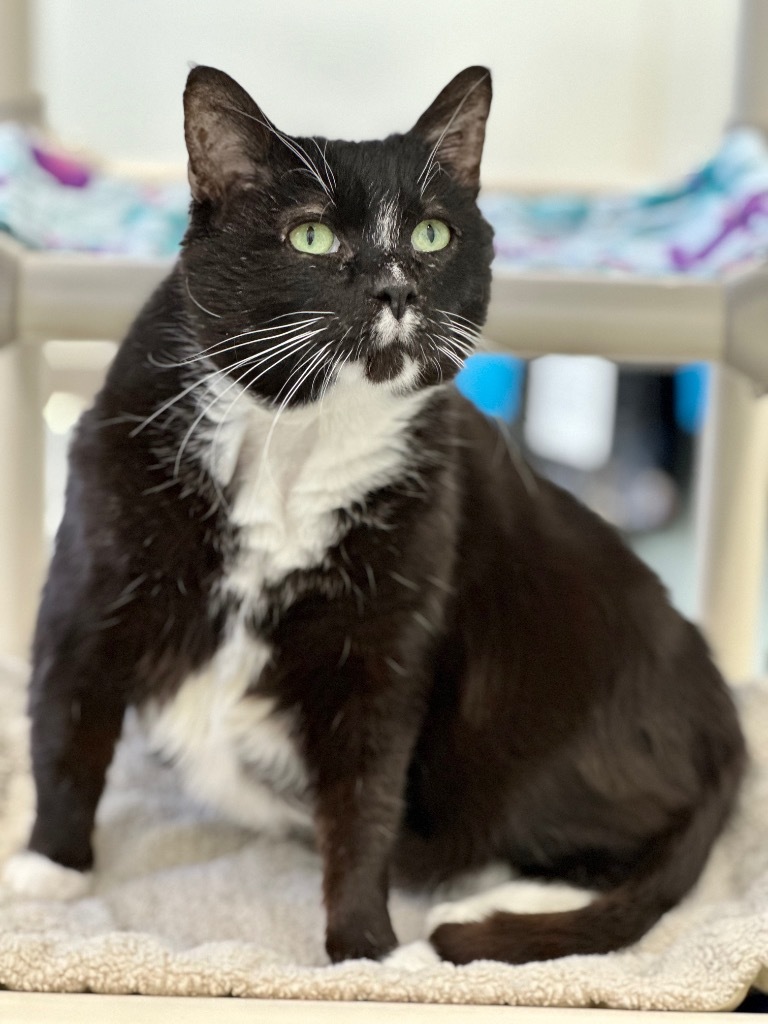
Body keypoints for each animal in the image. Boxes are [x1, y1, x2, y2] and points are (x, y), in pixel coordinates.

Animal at [6, 66, 745, 966]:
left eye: (431, 234)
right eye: (311, 237)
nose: (398, 287)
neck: (293, 444)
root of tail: (730, 736)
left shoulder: (388, 629)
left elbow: (366, 793)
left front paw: (366, 947)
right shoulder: (90, 578)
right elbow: (65, 724)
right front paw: (49, 869)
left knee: (624, 852)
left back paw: (490, 906)